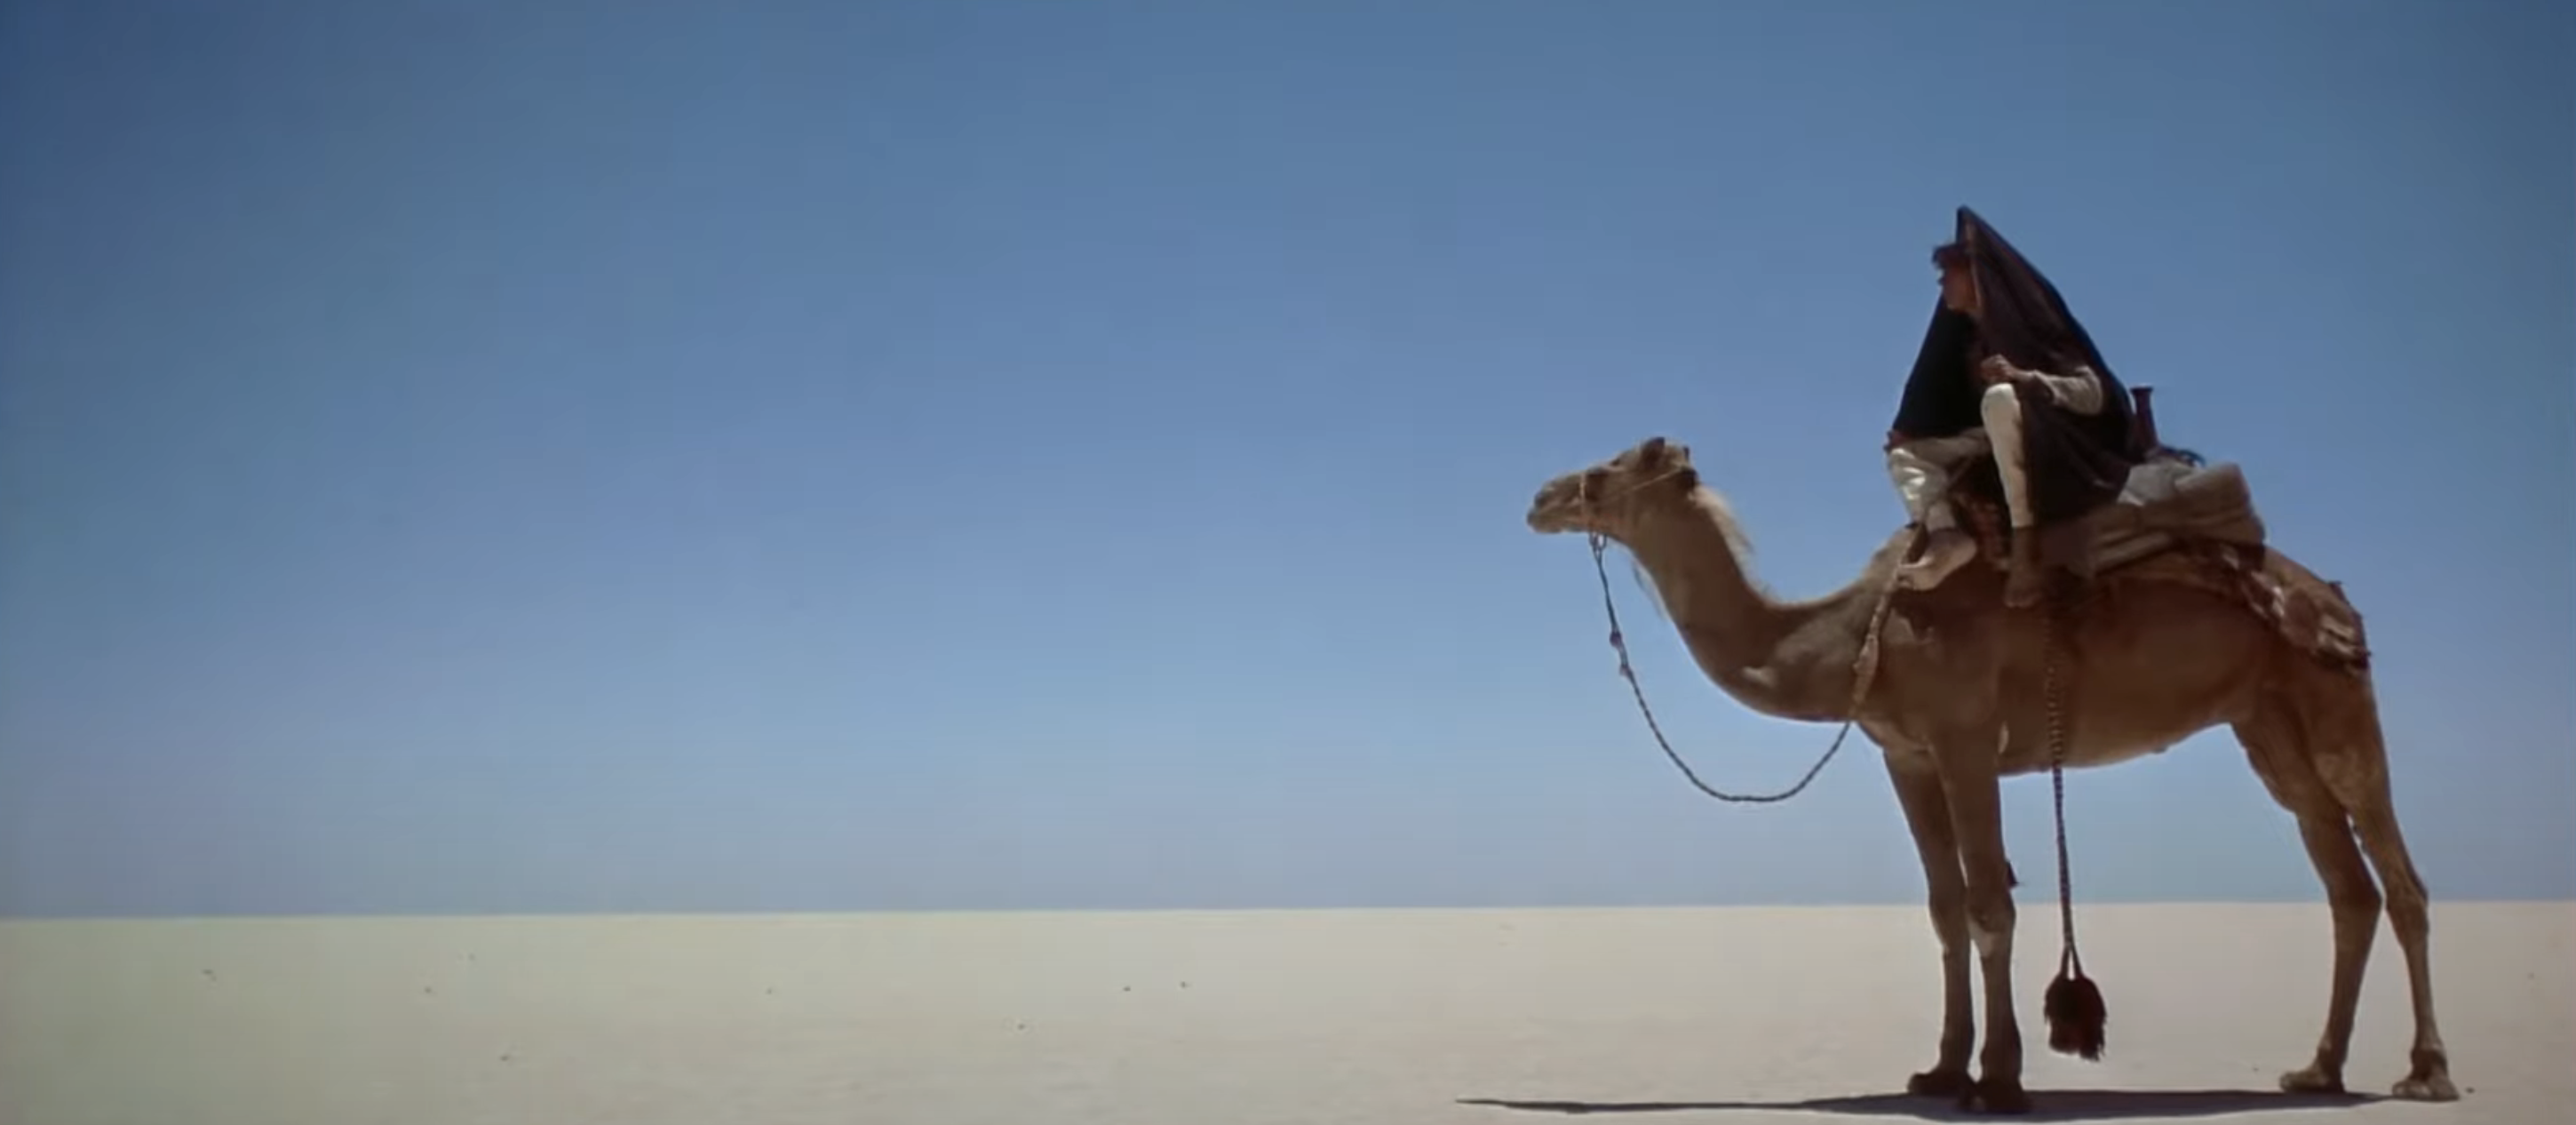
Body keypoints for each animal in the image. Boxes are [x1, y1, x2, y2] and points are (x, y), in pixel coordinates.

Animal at [1523, 434, 2457, 1115]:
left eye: (1610, 467)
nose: (1540, 497)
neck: (1854, 636)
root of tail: (2333, 598)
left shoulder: (1966, 737)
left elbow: (1989, 905)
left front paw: (2001, 1080)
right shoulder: (1906, 754)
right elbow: (1943, 909)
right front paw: (1941, 1069)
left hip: (2337, 699)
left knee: (2401, 880)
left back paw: (2426, 1072)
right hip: (2265, 721)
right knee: (2346, 885)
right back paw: (2318, 1071)